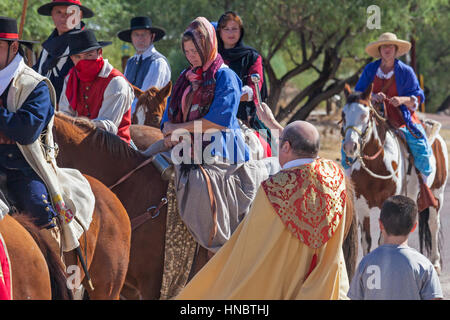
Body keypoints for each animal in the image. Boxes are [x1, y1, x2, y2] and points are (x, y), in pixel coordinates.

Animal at [342, 83, 446, 272]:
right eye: (343, 114)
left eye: (365, 114)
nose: (350, 146)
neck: (376, 164)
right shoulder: (361, 205)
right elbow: (366, 241)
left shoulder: (388, 200)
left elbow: (383, 239)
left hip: (437, 193)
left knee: (433, 224)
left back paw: (435, 262)